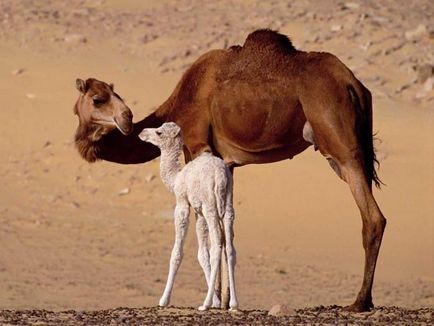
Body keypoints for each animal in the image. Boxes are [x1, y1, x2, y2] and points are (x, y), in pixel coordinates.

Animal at [138, 121, 237, 310]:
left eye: (159, 132)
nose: (142, 132)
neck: (176, 178)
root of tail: (220, 175)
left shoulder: (183, 204)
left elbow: (177, 253)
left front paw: (164, 300)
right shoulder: (199, 212)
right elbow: (202, 254)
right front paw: (216, 302)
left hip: (211, 205)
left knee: (217, 247)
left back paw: (204, 304)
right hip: (228, 204)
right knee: (229, 248)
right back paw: (234, 303)